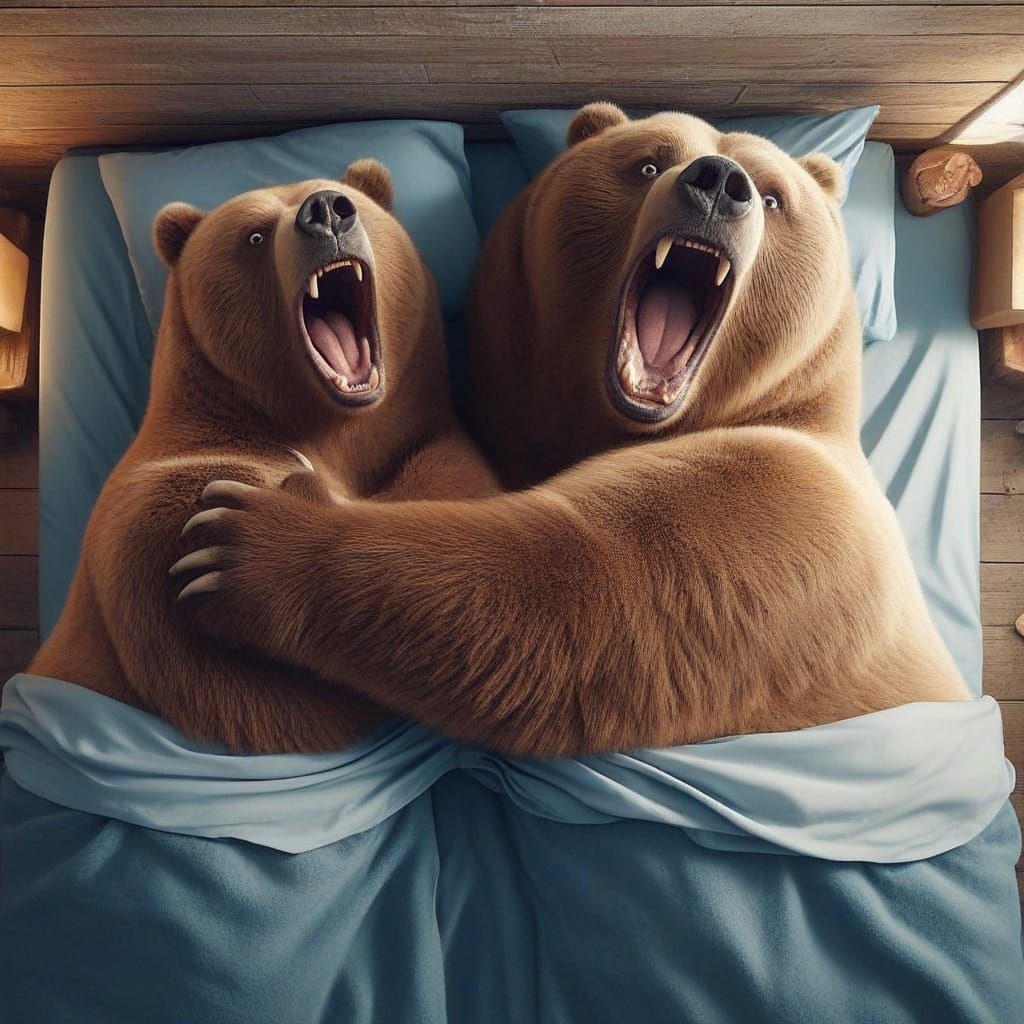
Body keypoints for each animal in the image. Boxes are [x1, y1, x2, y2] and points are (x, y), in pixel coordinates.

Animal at [28, 161, 498, 753]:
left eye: (350, 203)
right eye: (253, 235)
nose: (325, 212)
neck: (331, 431)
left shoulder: (428, 446)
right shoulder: (167, 510)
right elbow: (278, 694)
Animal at [173, 106, 970, 757]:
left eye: (775, 197)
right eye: (647, 161)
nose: (720, 182)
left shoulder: (785, 511)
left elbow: (583, 591)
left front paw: (245, 539)